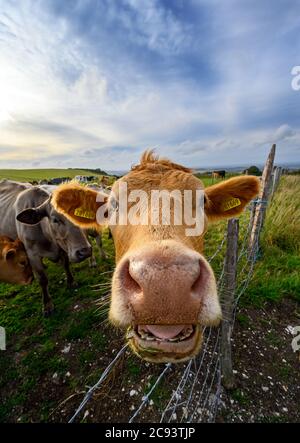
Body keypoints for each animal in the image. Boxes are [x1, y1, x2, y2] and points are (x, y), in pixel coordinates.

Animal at [0, 180, 91, 316]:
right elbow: (42, 279)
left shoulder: (62, 246)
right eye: (55, 219)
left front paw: (71, 281)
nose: (85, 251)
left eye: (80, 216)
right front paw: (47, 304)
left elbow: (66, 265)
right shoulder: (32, 254)